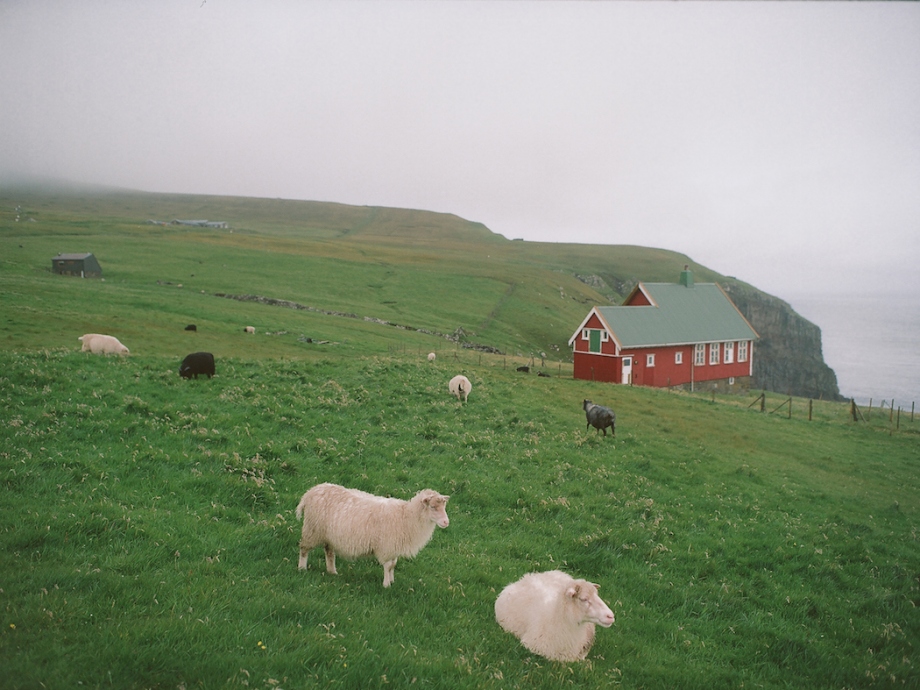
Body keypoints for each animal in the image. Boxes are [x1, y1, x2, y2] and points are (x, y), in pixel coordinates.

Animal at [296, 482, 452, 584]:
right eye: (433, 507)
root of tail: (310, 492)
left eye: (444, 507)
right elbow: (388, 566)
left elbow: (393, 565)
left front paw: (392, 581)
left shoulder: (393, 547)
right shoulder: (387, 546)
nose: (446, 522)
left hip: (329, 535)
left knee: (329, 552)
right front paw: (387, 585)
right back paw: (302, 568)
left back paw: (332, 571)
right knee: (304, 548)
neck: (406, 516)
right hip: (312, 529)